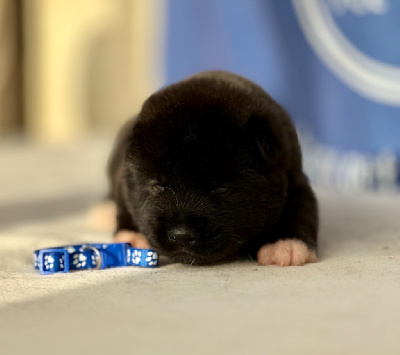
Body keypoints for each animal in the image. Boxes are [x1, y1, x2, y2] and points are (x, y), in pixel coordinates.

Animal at [106, 71, 318, 268]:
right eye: (157, 185)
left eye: (221, 188)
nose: (181, 235)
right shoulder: (123, 181)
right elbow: (125, 205)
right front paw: (132, 236)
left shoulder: (294, 178)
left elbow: (300, 209)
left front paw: (285, 244)